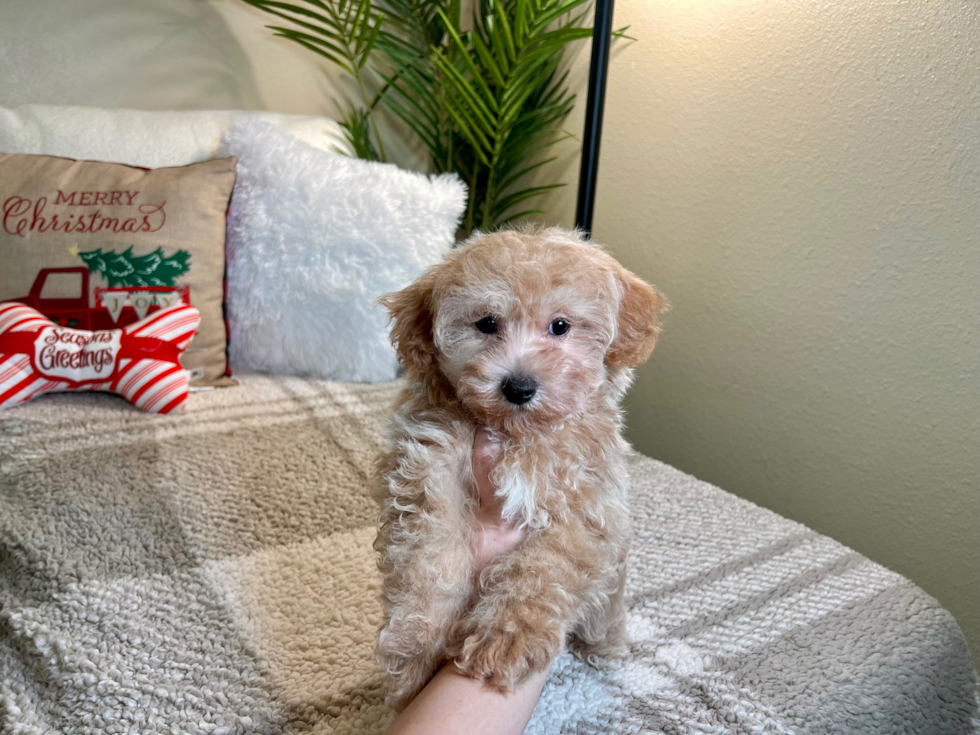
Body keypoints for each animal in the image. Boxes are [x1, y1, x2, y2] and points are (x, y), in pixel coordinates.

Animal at [374, 227, 668, 712]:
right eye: (487, 323)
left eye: (560, 326)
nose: (519, 386)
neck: (516, 436)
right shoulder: (427, 465)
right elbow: (431, 556)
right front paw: (416, 647)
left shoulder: (588, 506)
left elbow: (543, 568)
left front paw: (504, 638)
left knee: (605, 612)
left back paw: (604, 647)